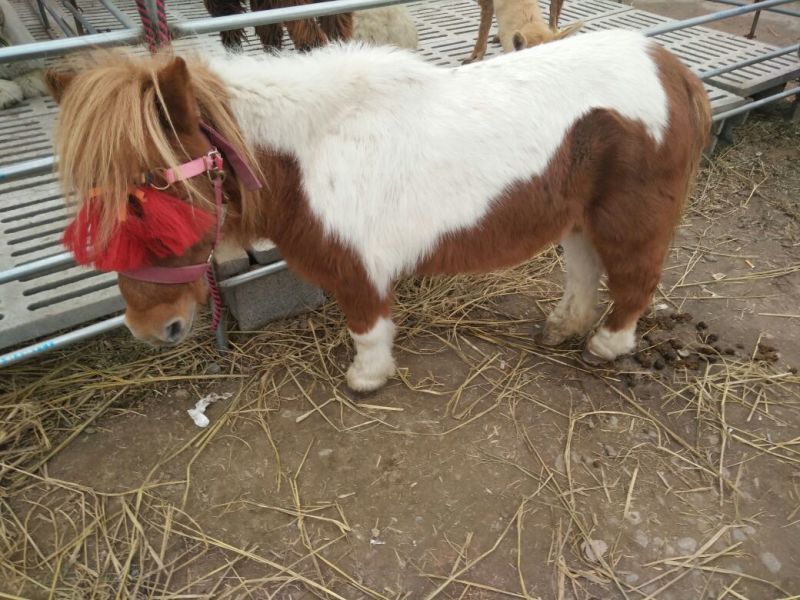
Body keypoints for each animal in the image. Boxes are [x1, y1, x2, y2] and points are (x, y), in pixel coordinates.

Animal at [46, 30, 711, 392]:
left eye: (153, 198)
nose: (148, 329)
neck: (311, 148)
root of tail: (669, 66)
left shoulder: (357, 269)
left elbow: (367, 327)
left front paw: (366, 379)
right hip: (578, 216)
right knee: (584, 271)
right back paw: (562, 327)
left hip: (630, 220)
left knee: (635, 281)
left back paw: (606, 346)